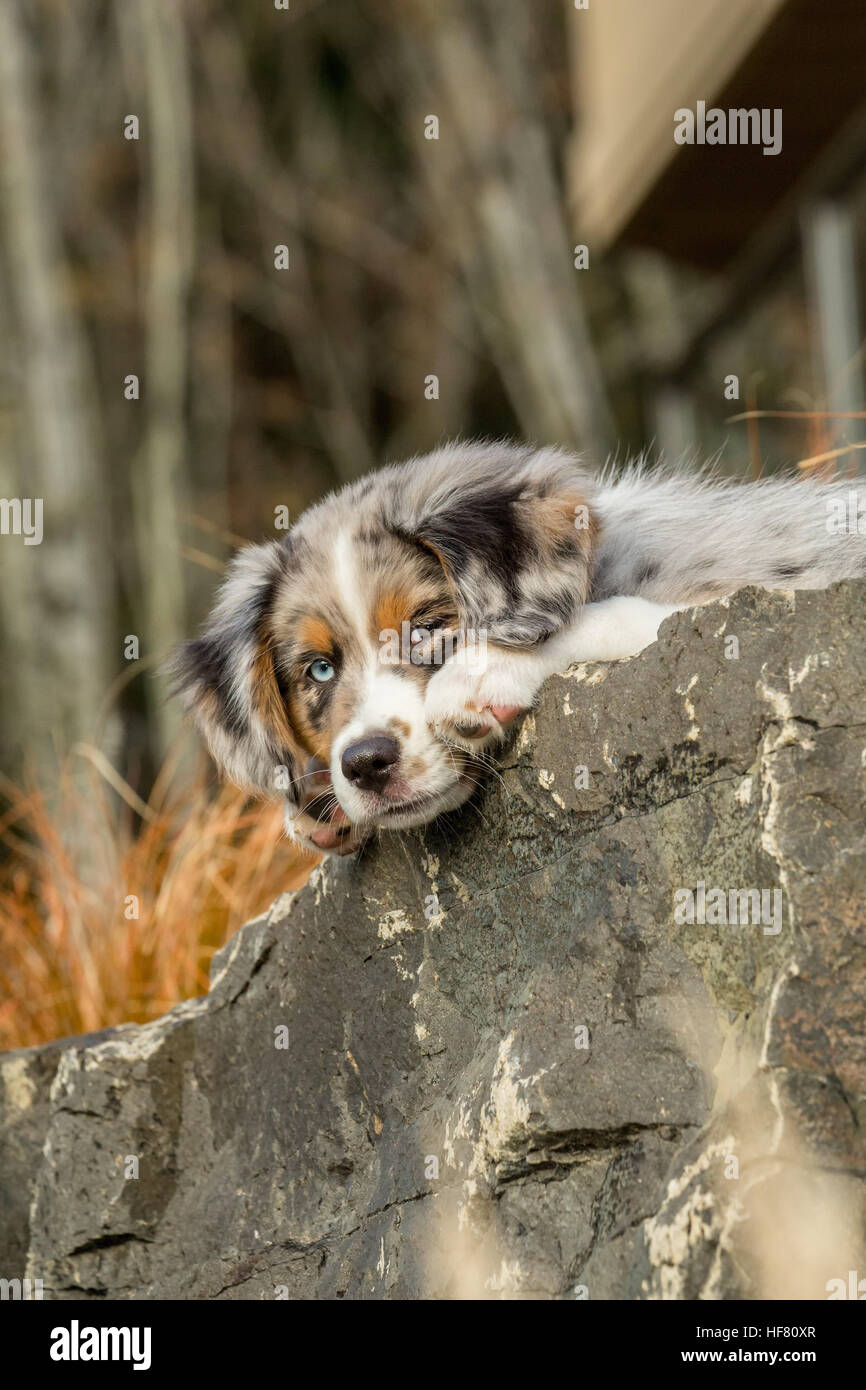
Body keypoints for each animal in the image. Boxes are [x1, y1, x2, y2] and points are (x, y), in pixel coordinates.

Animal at [170, 444, 866, 856]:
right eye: (318, 670)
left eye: (427, 630)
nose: (365, 763)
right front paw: (314, 807)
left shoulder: (737, 596)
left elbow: (605, 617)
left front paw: (478, 673)